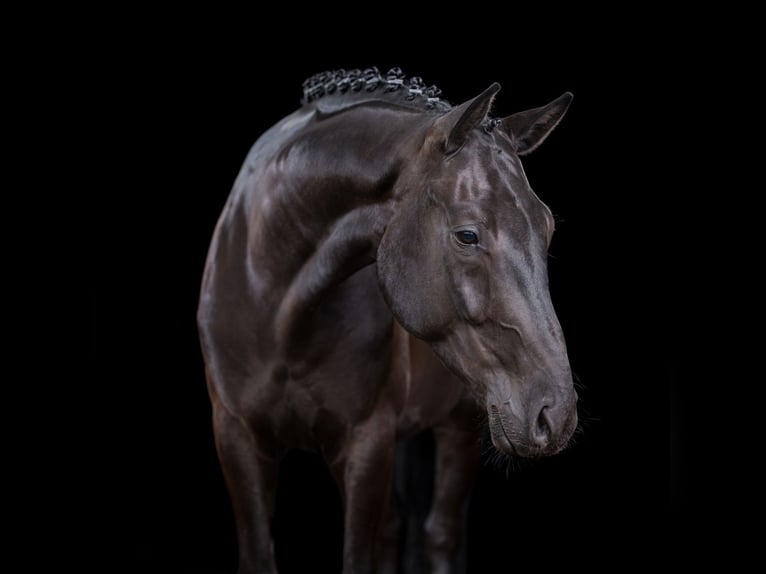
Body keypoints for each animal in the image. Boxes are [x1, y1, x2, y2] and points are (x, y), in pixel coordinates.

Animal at [197, 66, 577, 574]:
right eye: (468, 235)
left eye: (547, 227)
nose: (555, 414)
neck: (278, 312)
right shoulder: (237, 439)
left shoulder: (366, 444)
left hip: (458, 428)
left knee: (439, 534)